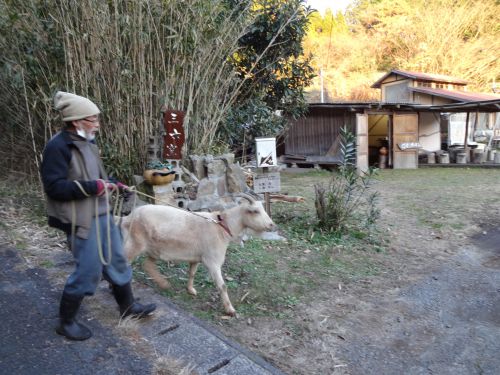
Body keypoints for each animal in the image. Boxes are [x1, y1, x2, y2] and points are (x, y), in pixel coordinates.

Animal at [121, 195, 278, 316]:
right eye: (255, 211)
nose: (272, 225)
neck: (221, 227)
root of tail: (130, 216)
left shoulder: (196, 257)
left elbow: (192, 273)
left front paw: (191, 290)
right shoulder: (212, 261)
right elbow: (222, 286)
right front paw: (230, 310)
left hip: (154, 249)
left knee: (147, 264)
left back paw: (163, 283)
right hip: (135, 243)